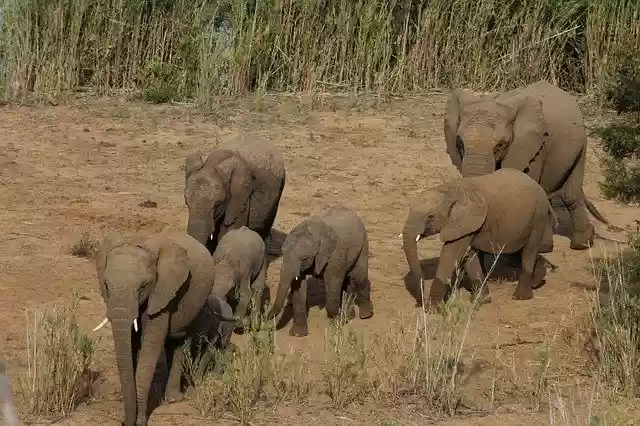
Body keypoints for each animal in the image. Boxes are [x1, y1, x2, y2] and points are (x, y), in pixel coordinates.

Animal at [92, 229, 220, 426]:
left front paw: (140, 420)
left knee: (182, 341)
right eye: (106, 284)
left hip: (196, 304)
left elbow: (150, 347)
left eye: (143, 286)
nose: (124, 423)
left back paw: (173, 399)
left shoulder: (164, 291)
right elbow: (132, 343)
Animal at [267, 206, 374, 337]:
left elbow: (333, 283)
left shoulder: (334, 255)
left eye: (304, 258)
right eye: (282, 254)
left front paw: (336, 325)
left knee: (359, 278)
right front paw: (298, 334)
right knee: (347, 281)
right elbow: (298, 287)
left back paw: (365, 316)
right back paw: (348, 317)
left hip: (363, 243)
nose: (265, 319)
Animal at [401, 168, 558, 307]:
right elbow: (469, 256)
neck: (449, 189)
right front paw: (481, 300)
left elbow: (450, 253)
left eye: (431, 217)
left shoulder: (466, 220)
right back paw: (537, 282)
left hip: (538, 218)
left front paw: (433, 309)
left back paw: (521, 297)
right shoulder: (468, 226)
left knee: (529, 252)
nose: (419, 303)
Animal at [444, 80, 607, 251]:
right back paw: (549, 246)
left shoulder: (533, 148)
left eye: (501, 144)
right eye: (459, 143)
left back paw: (580, 245)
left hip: (581, 144)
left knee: (570, 195)